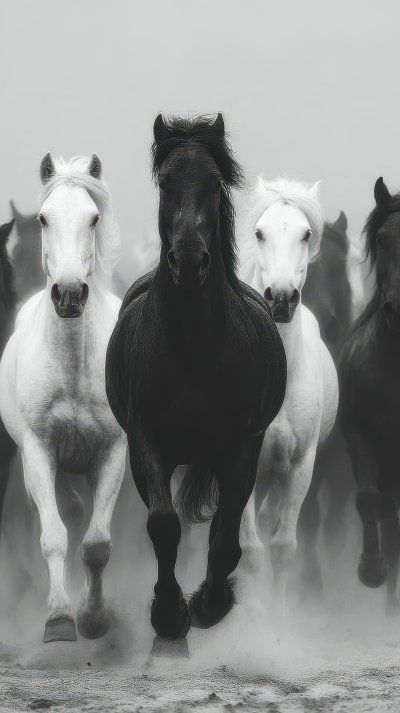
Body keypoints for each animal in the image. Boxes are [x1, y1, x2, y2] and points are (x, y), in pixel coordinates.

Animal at [0, 154, 127, 643]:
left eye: (93, 218)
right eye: (44, 218)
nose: (70, 294)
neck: (73, 364)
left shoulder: (112, 451)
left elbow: (97, 543)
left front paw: (93, 617)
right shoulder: (39, 451)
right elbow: (54, 537)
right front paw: (58, 618)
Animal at [105, 114, 286, 646]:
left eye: (214, 183)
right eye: (166, 183)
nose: (188, 261)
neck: (193, 349)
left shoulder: (242, 447)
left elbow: (226, 542)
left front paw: (209, 603)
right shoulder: (146, 441)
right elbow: (164, 525)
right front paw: (170, 614)